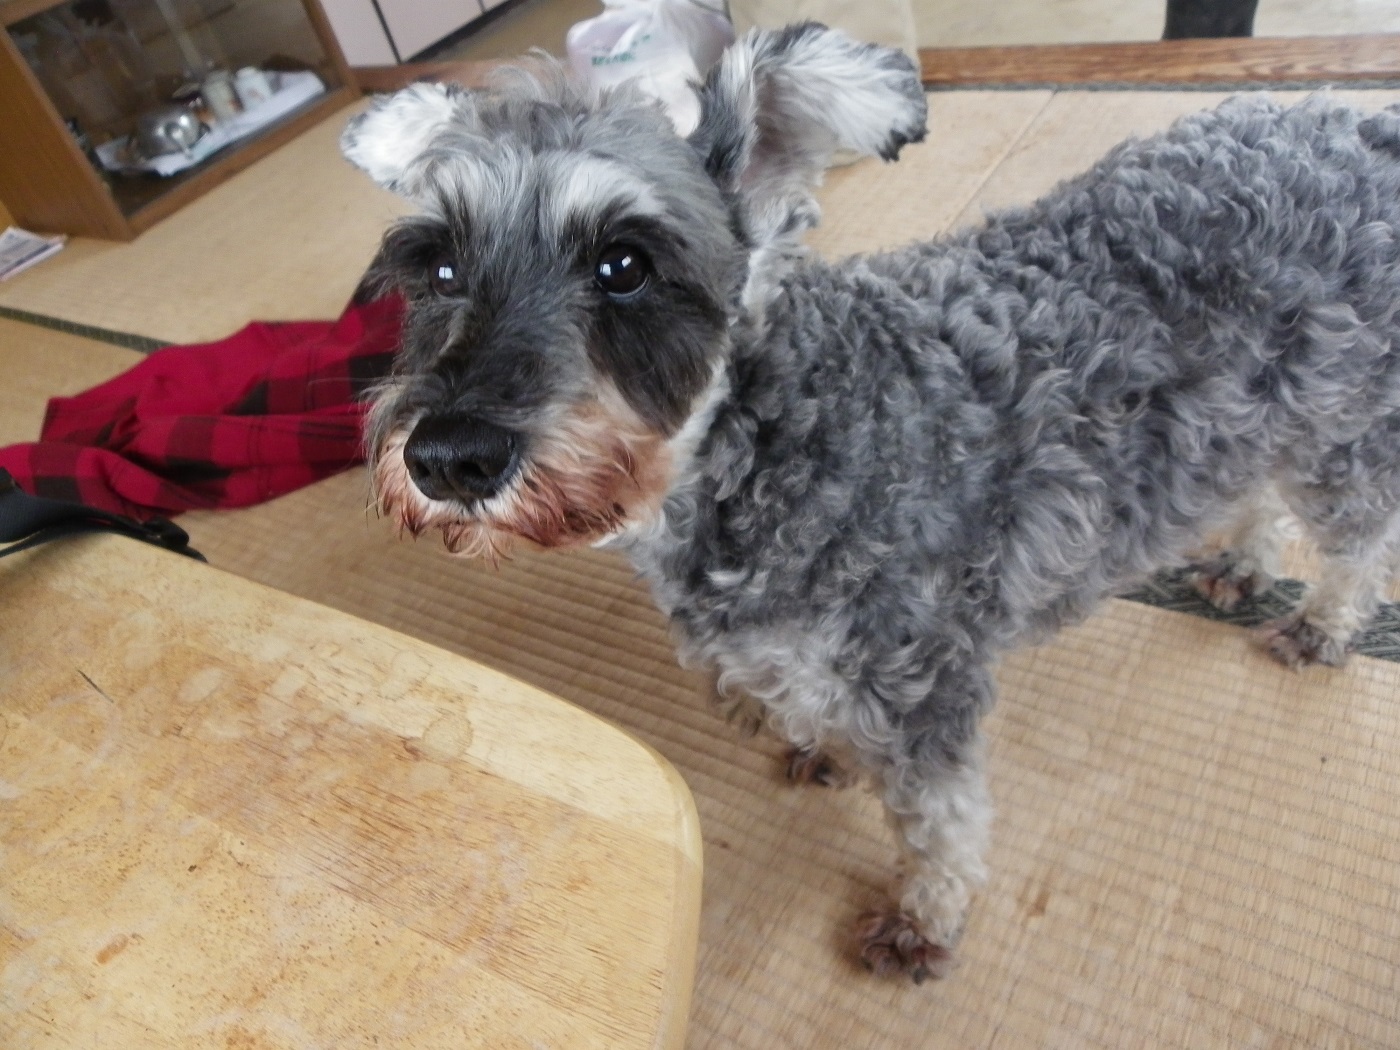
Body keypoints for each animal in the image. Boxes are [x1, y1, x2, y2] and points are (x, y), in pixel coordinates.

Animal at [340, 23, 1400, 981]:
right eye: (438, 268)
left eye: (624, 265)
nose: (449, 457)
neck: (767, 446)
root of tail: (1357, 123)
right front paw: (823, 750)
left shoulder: (926, 684)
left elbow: (939, 825)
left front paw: (924, 919)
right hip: (1261, 416)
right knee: (1262, 495)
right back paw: (1242, 565)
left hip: (1342, 428)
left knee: (1358, 538)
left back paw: (1324, 622)